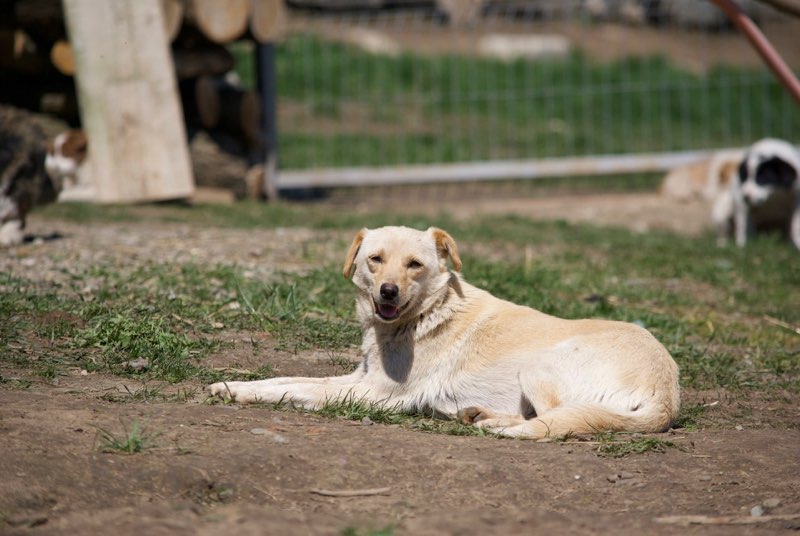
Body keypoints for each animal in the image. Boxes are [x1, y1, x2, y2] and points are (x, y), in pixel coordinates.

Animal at [208, 226, 680, 440]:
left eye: (414, 265)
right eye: (375, 259)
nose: (388, 291)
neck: (421, 316)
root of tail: (668, 392)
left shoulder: (376, 394)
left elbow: (295, 390)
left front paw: (243, 394)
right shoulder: (358, 378)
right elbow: (283, 378)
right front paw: (232, 386)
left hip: (539, 364)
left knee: (549, 420)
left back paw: (490, 422)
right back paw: (476, 415)